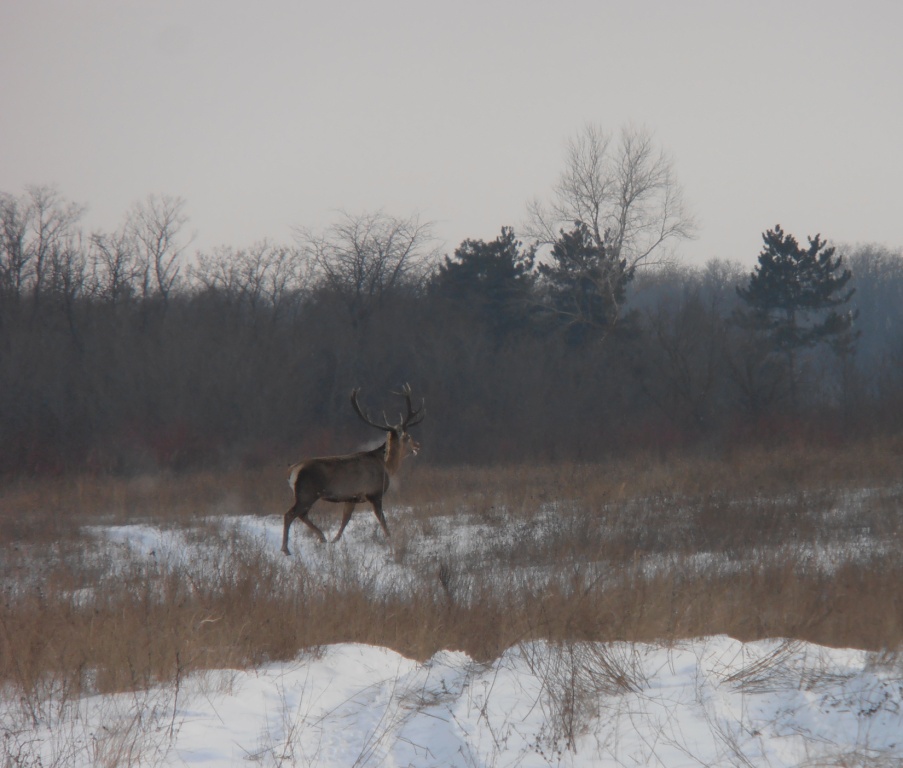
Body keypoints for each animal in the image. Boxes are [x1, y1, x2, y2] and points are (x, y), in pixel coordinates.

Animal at [280, 388, 426, 556]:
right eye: (408, 436)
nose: (418, 445)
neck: (387, 465)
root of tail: (292, 470)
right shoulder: (375, 493)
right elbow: (382, 519)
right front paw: (391, 539)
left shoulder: (351, 497)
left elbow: (345, 519)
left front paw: (335, 540)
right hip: (307, 493)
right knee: (290, 514)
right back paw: (286, 549)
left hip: (307, 495)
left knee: (302, 515)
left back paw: (322, 537)